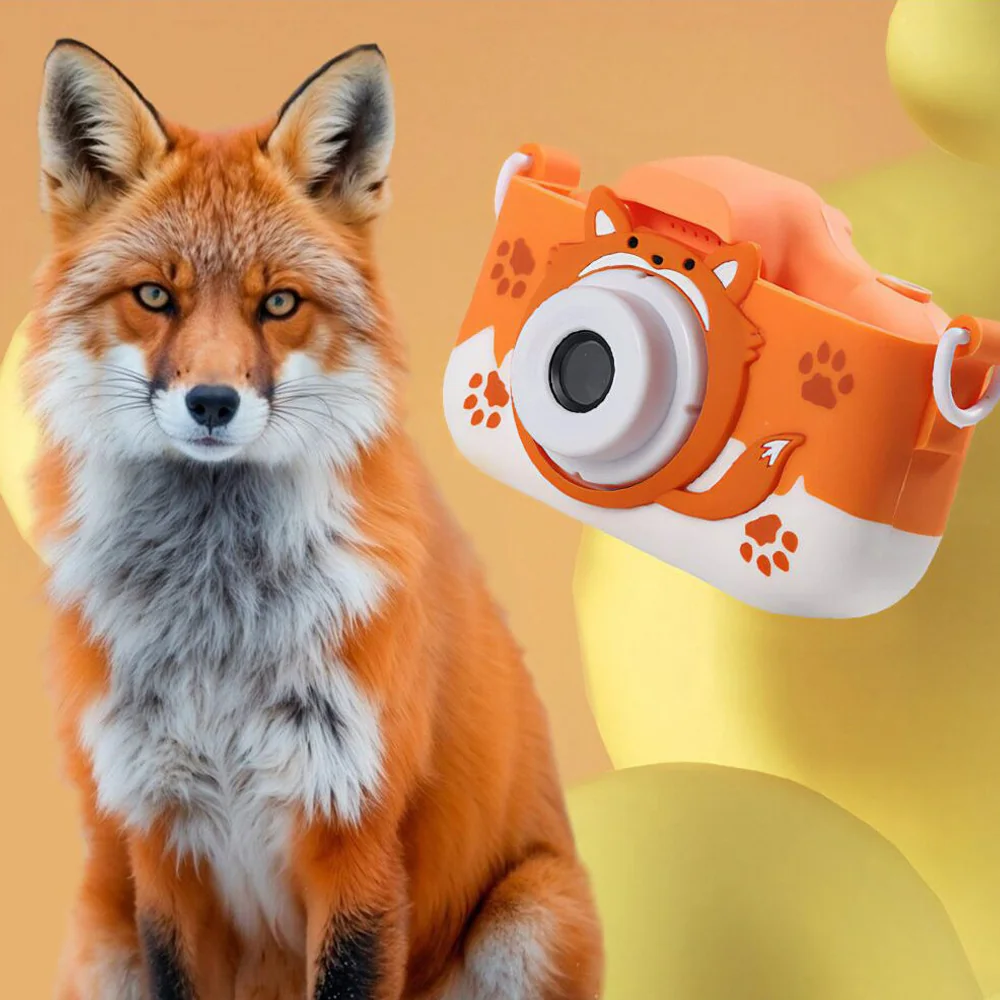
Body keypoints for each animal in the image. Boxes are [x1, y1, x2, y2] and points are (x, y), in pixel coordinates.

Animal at [22, 39, 603, 1000]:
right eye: (155, 297)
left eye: (280, 303)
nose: (212, 402)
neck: (219, 628)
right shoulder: (161, 844)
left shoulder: (355, 836)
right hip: (100, 935)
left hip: (534, 911)